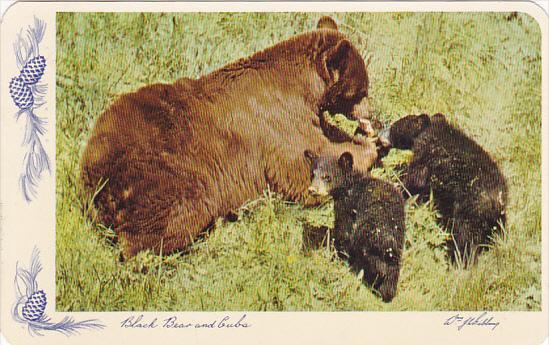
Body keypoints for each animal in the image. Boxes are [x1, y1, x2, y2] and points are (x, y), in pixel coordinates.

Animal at [81, 16, 374, 258]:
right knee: (166, 224)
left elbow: (328, 135)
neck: (302, 86)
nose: (372, 112)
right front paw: (369, 149)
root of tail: (95, 180)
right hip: (168, 177)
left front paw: (365, 138)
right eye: (362, 90)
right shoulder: (280, 122)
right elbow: (300, 167)